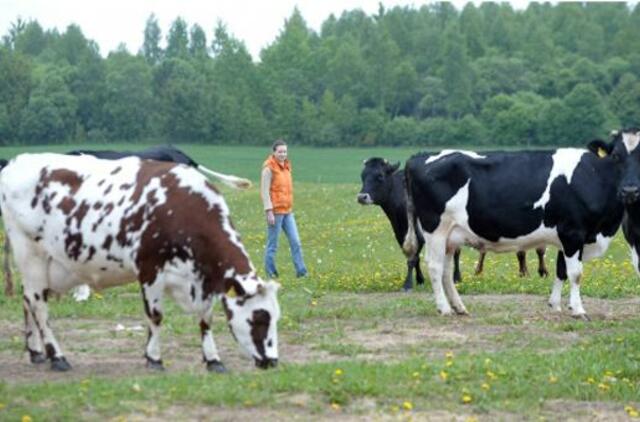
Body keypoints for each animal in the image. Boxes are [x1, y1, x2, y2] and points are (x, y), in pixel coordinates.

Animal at [0, 153, 280, 370]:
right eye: (259, 319)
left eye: (275, 317)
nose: (273, 361)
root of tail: (17, 161)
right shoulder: (149, 268)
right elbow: (155, 316)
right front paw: (154, 358)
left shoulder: (203, 280)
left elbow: (205, 318)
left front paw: (213, 360)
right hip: (30, 253)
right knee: (38, 305)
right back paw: (56, 356)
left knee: (27, 300)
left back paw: (36, 352)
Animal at [356, 157, 544, 292]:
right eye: (363, 176)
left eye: (379, 176)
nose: (362, 196)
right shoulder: (401, 230)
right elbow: (413, 255)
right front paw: (419, 279)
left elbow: (414, 257)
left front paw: (408, 284)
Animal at [404, 130, 640, 318]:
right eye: (616, 156)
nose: (630, 190)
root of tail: (419, 157)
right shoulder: (573, 232)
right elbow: (575, 273)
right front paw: (578, 310)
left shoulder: (566, 236)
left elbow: (561, 270)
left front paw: (556, 305)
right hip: (435, 229)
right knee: (435, 267)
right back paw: (444, 309)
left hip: (451, 237)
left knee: (446, 270)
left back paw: (459, 307)